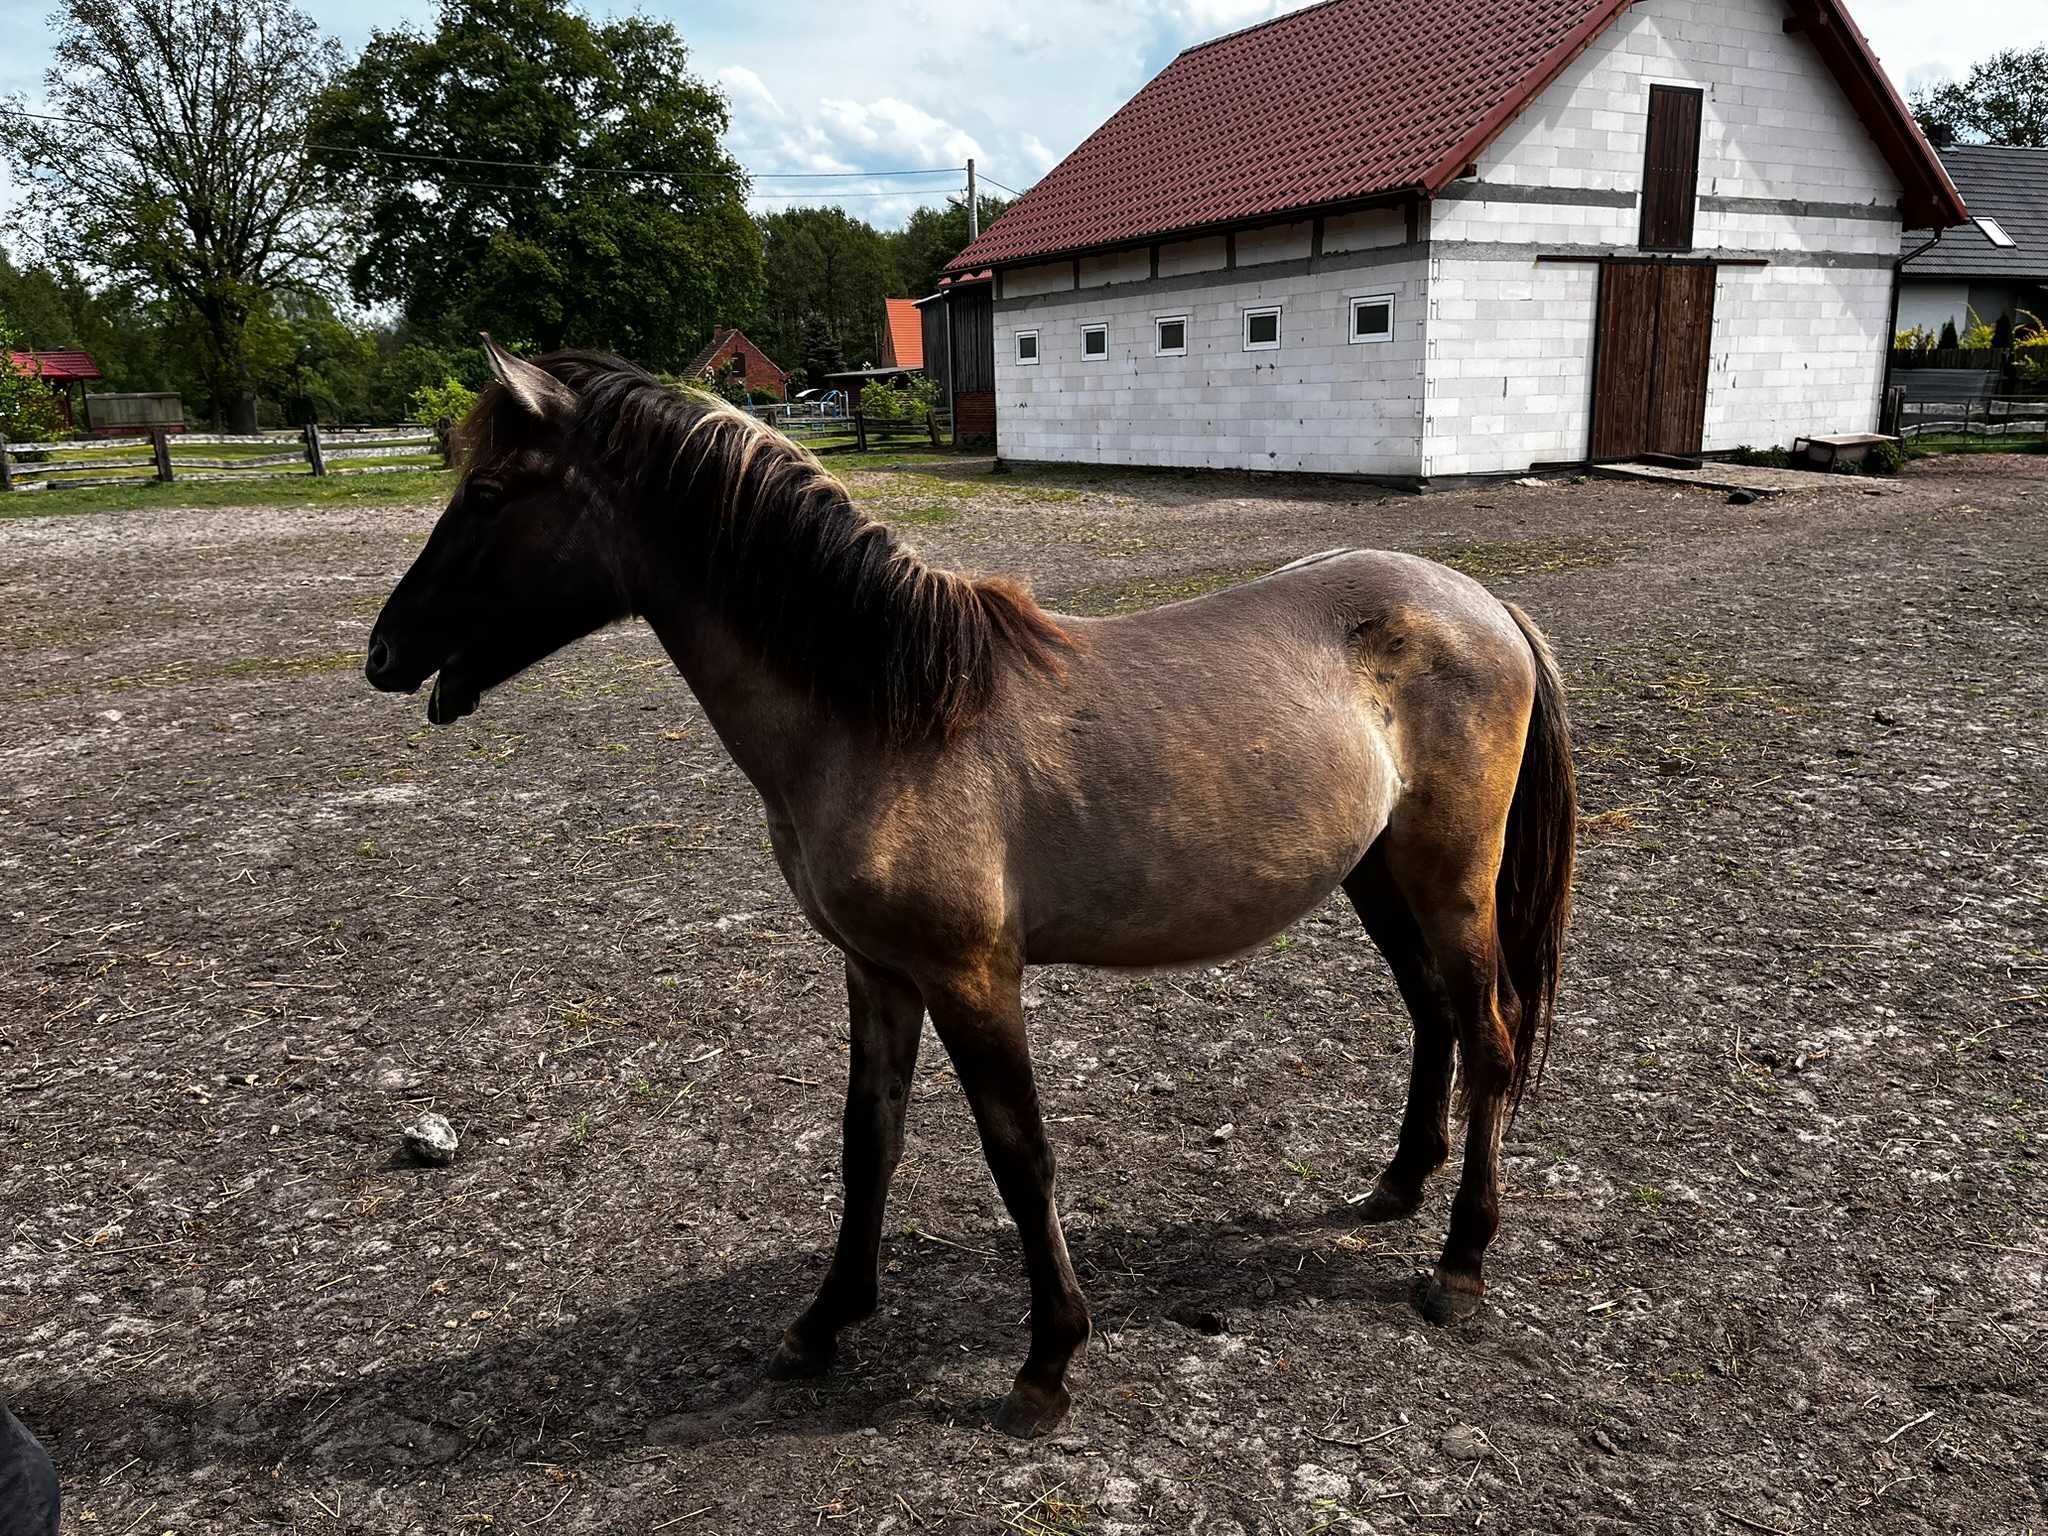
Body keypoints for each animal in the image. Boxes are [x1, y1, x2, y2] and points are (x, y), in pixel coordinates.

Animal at [364, 335, 1581, 1441]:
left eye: (486, 492)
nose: (383, 653)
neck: (891, 716)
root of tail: (1481, 602)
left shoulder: (971, 978)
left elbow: (1019, 1154)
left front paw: (1046, 1363)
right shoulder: (876, 972)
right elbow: (869, 1140)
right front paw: (824, 1322)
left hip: (1449, 878)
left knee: (1490, 1034)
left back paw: (1458, 1262)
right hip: (1379, 875)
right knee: (1433, 1017)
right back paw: (1396, 1188)